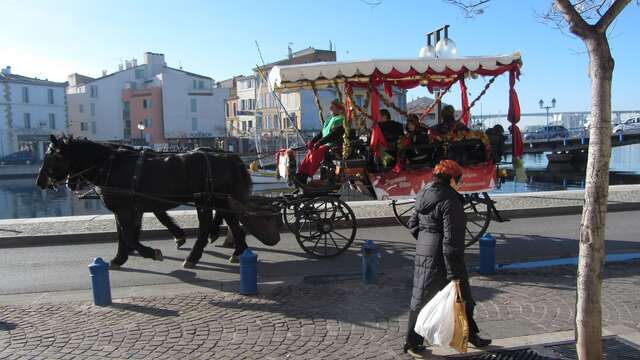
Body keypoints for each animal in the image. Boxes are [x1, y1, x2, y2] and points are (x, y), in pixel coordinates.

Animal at [36, 136, 252, 270]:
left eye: (52, 156)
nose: (39, 182)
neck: (111, 165)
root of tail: (228, 156)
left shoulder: (124, 209)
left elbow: (130, 235)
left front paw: (150, 252)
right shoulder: (124, 208)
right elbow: (124, 234)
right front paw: (119, 258)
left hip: (205, 199)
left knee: (208, 225)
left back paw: (194, 256)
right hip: (219, 199)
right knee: (231, 221)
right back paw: (239, 250)